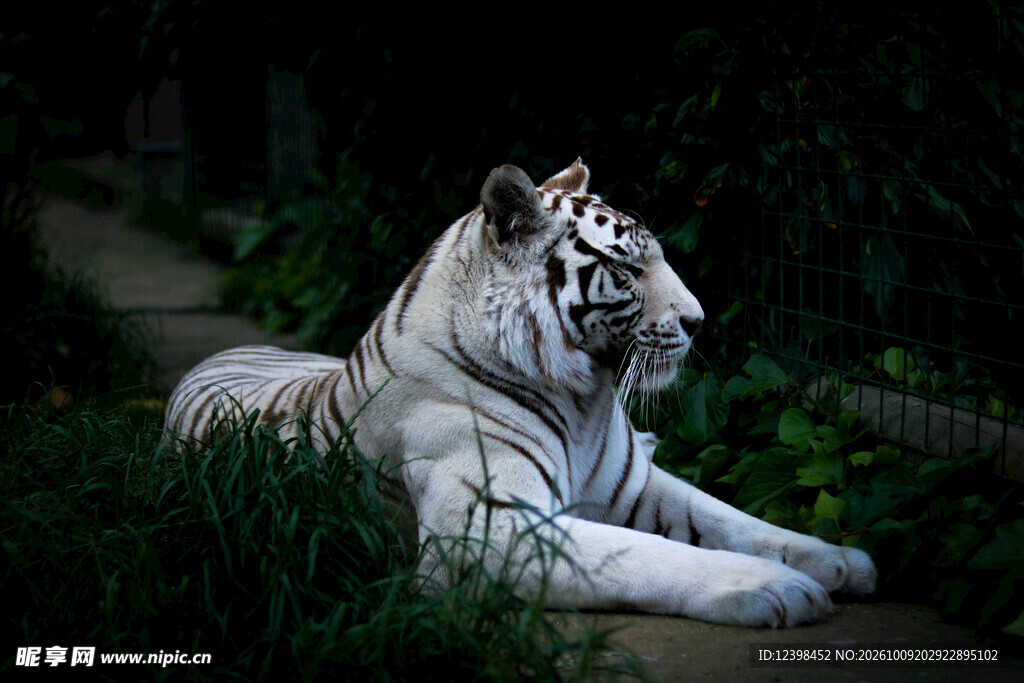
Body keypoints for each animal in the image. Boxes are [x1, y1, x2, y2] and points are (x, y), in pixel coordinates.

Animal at [165, 160, 876, 627]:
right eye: (626, 269)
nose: (700, 321)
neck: (584, 399)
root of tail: (220, 353)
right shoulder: (490, 530)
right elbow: (652, 554)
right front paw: (778, 588)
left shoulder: (633, 486)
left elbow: (733, 519)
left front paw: (840, 561)